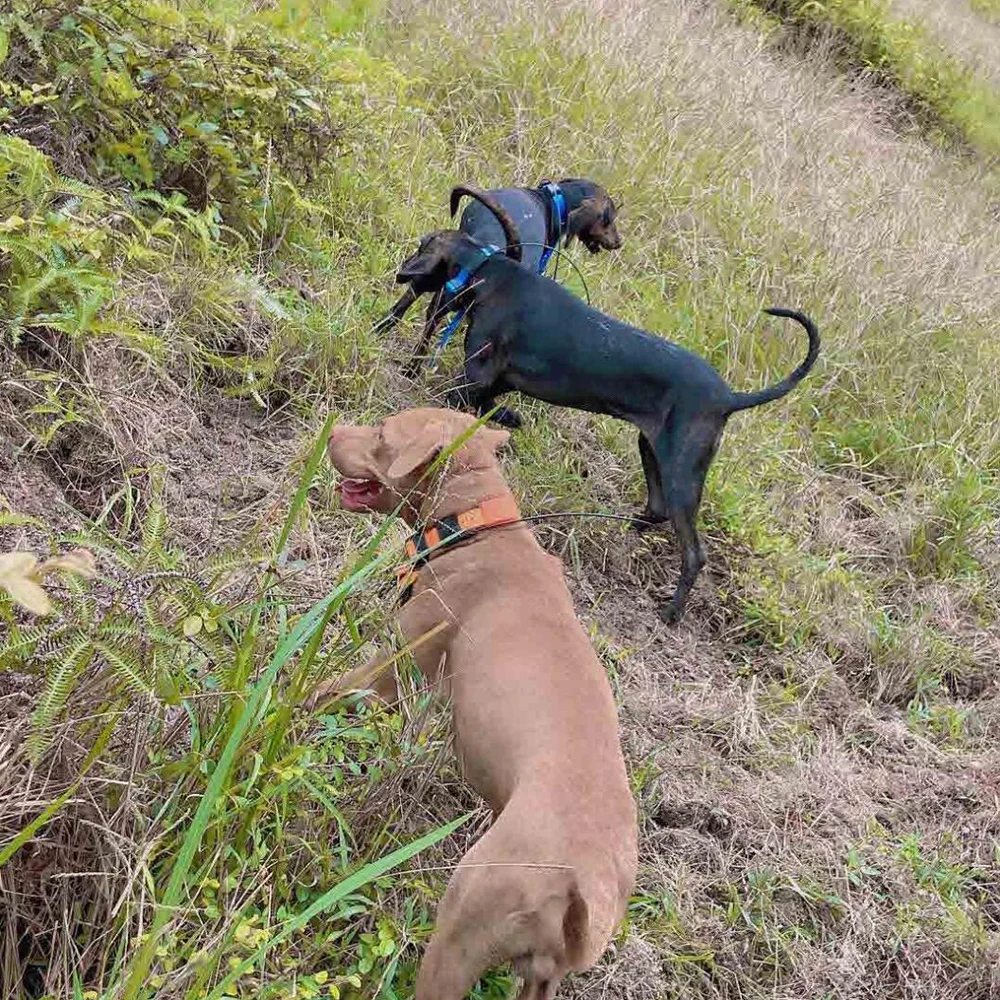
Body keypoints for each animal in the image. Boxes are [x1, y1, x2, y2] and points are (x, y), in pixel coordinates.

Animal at [316, 406, 636, 1000]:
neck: (472, 524)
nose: (331, 432)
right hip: (537, 978)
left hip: (462, 925)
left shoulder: (393, 666)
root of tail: (583, 887)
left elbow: (321, 692)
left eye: (381, 433)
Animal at [390, 231, 820, 620]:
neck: (488, 270)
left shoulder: (473, 378)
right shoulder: (492, 383)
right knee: (657, 510)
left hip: (681, 472)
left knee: (694, 552)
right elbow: (494, 410)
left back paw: (672, 612)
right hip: (652, 450)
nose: (401, 275)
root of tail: (729, 398)